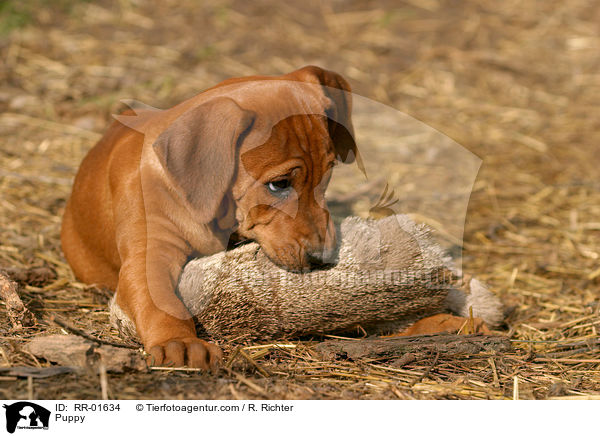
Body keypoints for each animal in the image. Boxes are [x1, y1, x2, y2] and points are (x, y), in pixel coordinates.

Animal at [61, 66, 358, 368]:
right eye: (279, 184)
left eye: (328, 174)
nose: (324, 257)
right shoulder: (148, 254)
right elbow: (161, 303)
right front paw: (178, 342)